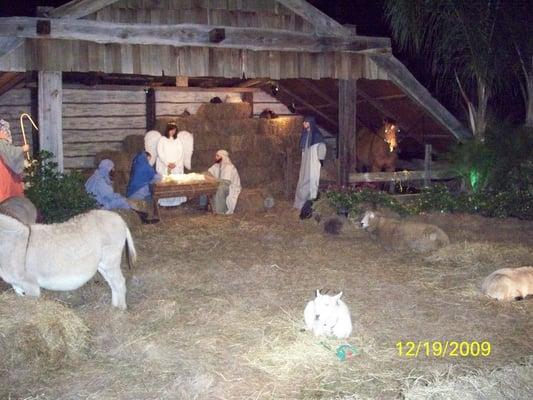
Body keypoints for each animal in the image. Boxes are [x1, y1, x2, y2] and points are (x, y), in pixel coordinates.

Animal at [0, 209, 136, 310]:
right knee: (112, 283)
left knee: (119, 282)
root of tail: (119, 218)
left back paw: (121, 309)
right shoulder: (16, 284)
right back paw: (114, 307)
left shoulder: (30, 284)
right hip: (102, 265)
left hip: (110, 260)